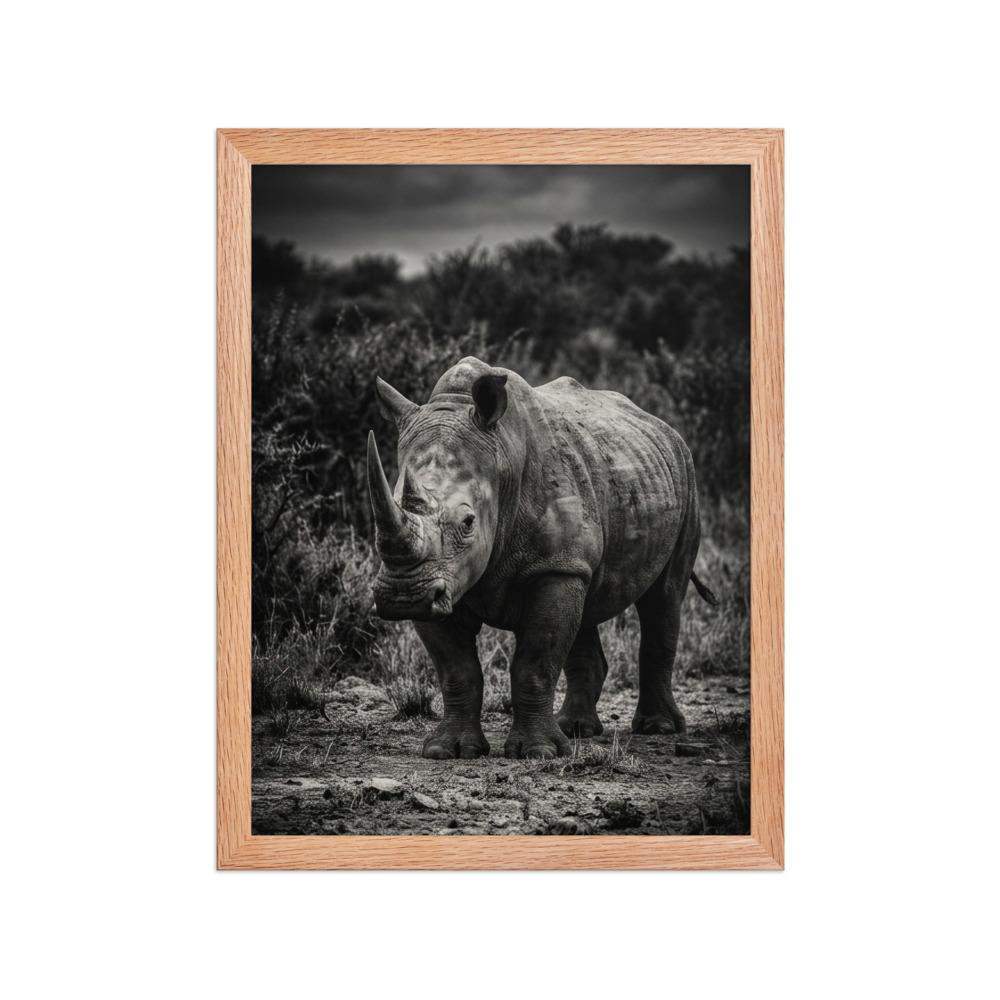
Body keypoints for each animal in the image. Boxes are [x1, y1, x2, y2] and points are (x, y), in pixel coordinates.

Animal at [366, 356, 718, 760]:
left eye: (468, 522)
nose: (402, 595)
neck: (501, 457)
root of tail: (662, 427)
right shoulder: (442, 580)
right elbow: (456, 669)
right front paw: (448, 750)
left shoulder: (552, 567)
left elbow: (535, 662)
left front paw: (537, 752)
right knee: (587, 602)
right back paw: (576, 730)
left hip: (685, 476)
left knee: (664, 596)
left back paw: (657, 729)